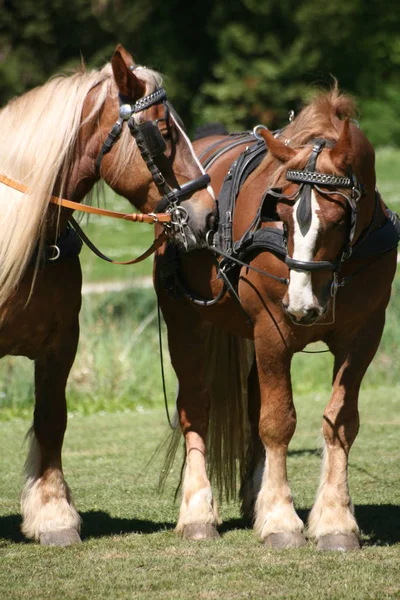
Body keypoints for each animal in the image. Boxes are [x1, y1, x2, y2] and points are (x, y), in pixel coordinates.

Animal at [155, 86, 398, 552]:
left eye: (338, 219)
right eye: (281, 218)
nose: (301, 304)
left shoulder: (363, 336)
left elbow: (340, 421)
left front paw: (334, 519)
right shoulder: (273, 330)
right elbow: (278, 421)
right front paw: (283, 520)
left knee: (252, 404)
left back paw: (258, 498)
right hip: (186, 324)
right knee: (196, 407)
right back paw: (198, 512)